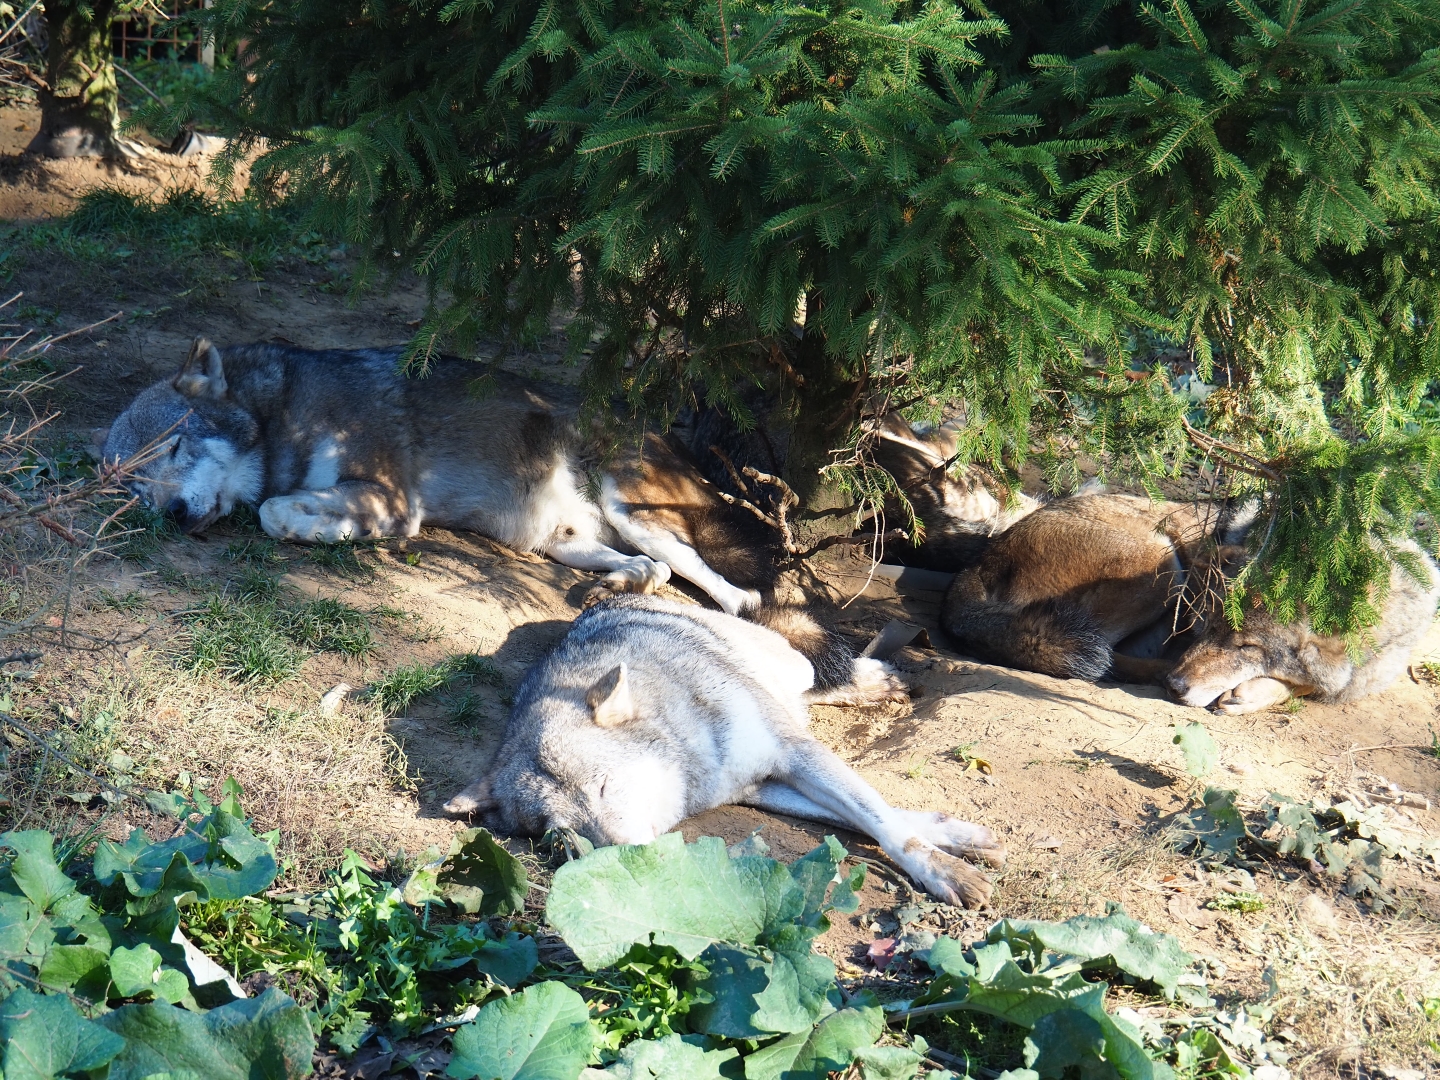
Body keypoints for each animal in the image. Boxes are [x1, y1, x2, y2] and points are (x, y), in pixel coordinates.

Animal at [99, 339, 784, 616]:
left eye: (174, 445)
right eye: (131, 490)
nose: (172, 516)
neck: (283, 414)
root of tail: (663, 434)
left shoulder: (393, 498)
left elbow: (273, 512)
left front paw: (323, 532)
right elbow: (273, 506)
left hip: (628, 510)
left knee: (724, 586)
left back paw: (735, 604)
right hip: (555, 542)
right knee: (654, 570)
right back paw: (615, 588)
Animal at [442, 595, 1007, 908]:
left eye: (603, 787)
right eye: (562, 837)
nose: (627, 866)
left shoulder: (793, 751)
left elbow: (885, 823)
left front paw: (946, 872)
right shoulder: (758, 787)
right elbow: (876, 816)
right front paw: (960, 838)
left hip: (787, 670)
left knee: (816, 673)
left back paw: (879, 681)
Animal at [1167, 540, 1440, 713]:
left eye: (1247, 647)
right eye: (1209, 625)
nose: (1173, 685)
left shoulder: (1370, 674)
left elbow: (1312, 684)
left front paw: (1253, 695)